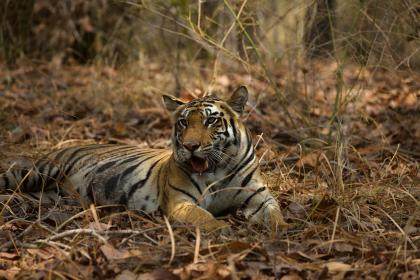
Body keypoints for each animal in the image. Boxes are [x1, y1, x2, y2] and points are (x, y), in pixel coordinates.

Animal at [0, 86, 288, 233]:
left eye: (210, 121)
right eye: (183, 122)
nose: (190, 146)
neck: (218, 169)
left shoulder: (260, 196)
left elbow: (275, 213)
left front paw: (281, 228)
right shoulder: (181, 203)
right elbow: (205, 218)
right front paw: (222, 229)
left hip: (47, 195)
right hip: (38, 172)